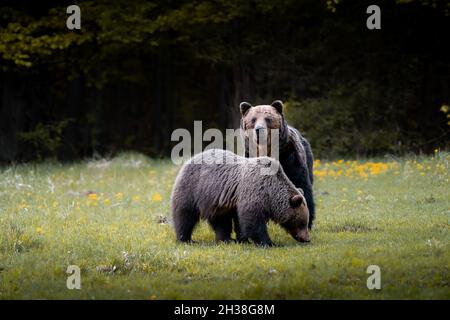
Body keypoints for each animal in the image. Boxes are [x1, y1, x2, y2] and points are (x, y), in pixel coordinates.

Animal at [171, 149, 312, 246]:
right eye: (302, 222)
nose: (306, 238)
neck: (270, 193)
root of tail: (192, 158)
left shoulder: (237, 201)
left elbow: (240, 221)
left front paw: (242, 239)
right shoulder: (254, 192)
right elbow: (253, 221)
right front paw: (269, 243)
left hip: (216, 200)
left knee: (221, 221)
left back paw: (226, 239)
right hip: (192, 189)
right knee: (185, 215)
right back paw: (186, 239)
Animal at [239, 101, 316, 229]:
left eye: (268, 118)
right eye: (253, 119)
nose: (259, 130)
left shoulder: (289, 157)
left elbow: (301, 184)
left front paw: (307, 221)